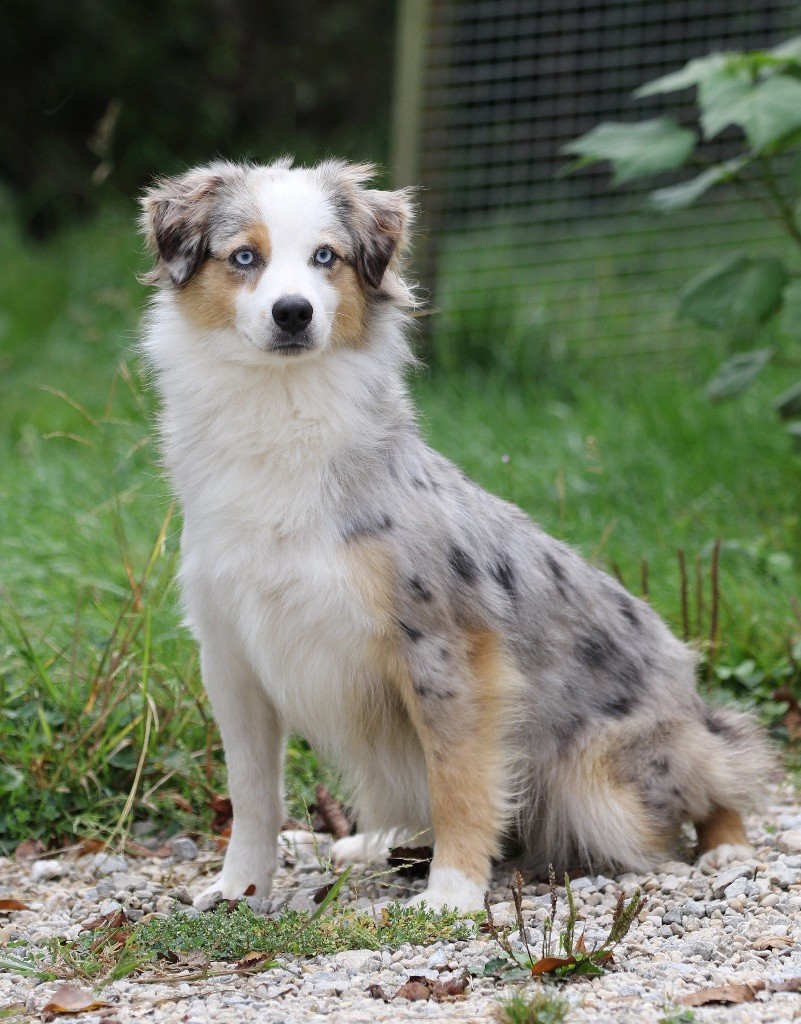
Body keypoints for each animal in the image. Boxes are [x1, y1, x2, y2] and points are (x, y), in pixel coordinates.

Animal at [141, 159, 774, 913]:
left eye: (326, 257)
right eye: (244, 257)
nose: (293, 312)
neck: (279, 413)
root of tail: (684, 677)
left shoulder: (446, 649)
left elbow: (459, 778)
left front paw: (453, 892)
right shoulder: (232, 656)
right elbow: (251, 794)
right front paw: (239, 886)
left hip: (610, 778)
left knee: (721, 765)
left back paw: (725, 846)